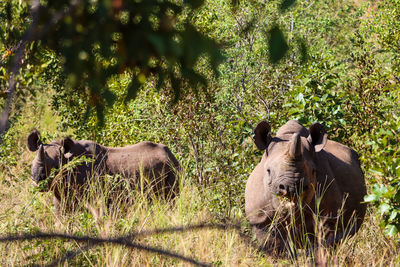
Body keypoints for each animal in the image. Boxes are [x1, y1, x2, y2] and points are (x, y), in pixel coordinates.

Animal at [26, 130, 180, 211]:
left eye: (55, 166)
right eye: (33, 162)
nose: (37, 178)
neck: (68, 159)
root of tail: (171, 156)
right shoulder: (62, 196)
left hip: (171, 169)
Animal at [244, 120, 366, 254]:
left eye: (313, 171)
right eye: (268, 170)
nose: (291, 187)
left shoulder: (329, 218)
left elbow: (324, 245)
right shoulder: (260, 220)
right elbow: (274, 247)